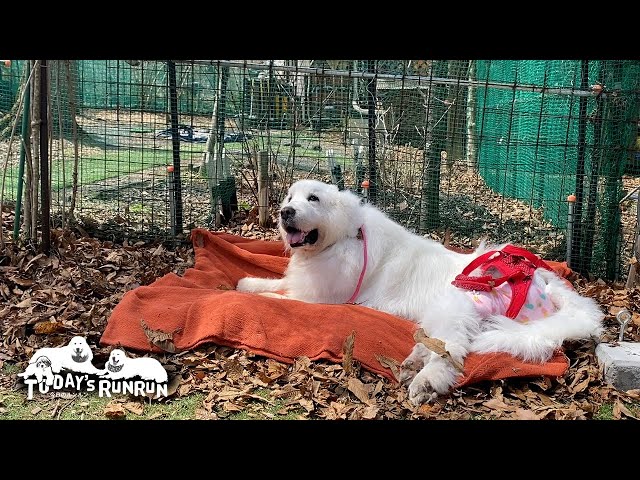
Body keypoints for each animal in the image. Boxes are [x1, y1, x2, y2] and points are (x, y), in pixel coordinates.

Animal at [236, 180, 604, 404]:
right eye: (290, 198)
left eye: (313, 199)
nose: (285, 212)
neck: (344, 237)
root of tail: (542, 282)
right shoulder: (304, 283)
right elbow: (272, 281)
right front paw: (245, 282)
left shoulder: (319, 298)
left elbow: (276, 297)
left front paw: (249, 296)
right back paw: (413, 362)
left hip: (455, 304)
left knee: (451, 351)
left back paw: (425, 381)